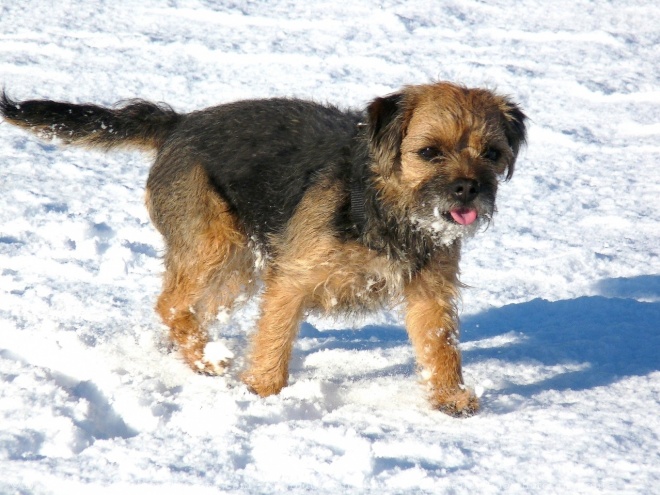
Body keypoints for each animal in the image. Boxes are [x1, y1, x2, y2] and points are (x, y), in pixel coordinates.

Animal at [0, 83, 524, 416]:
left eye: (492, 154)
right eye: (430, 152)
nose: (467, 190)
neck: (382, 203)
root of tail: (179, 123)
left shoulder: (429, 291)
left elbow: (440, 346)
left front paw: (449, 398)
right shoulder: (291, 280)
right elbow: (273, 339)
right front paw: (263, 395)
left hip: (235, 271)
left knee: (188, 309)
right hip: (215, 246)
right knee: (171, 303)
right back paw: (207, 360)